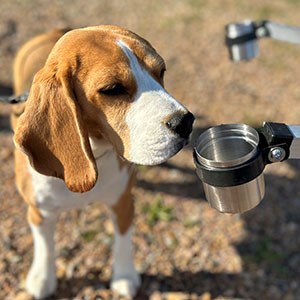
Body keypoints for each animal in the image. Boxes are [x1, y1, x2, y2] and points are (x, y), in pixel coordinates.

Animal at [12, 25, 195, 298]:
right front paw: (42, 278)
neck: (94, 153)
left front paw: (124, 276)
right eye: (112, 89)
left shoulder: (123, 201)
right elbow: (45, 245)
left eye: (161, 72)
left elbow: (123, 240)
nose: (186, 122)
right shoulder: (39, 211)